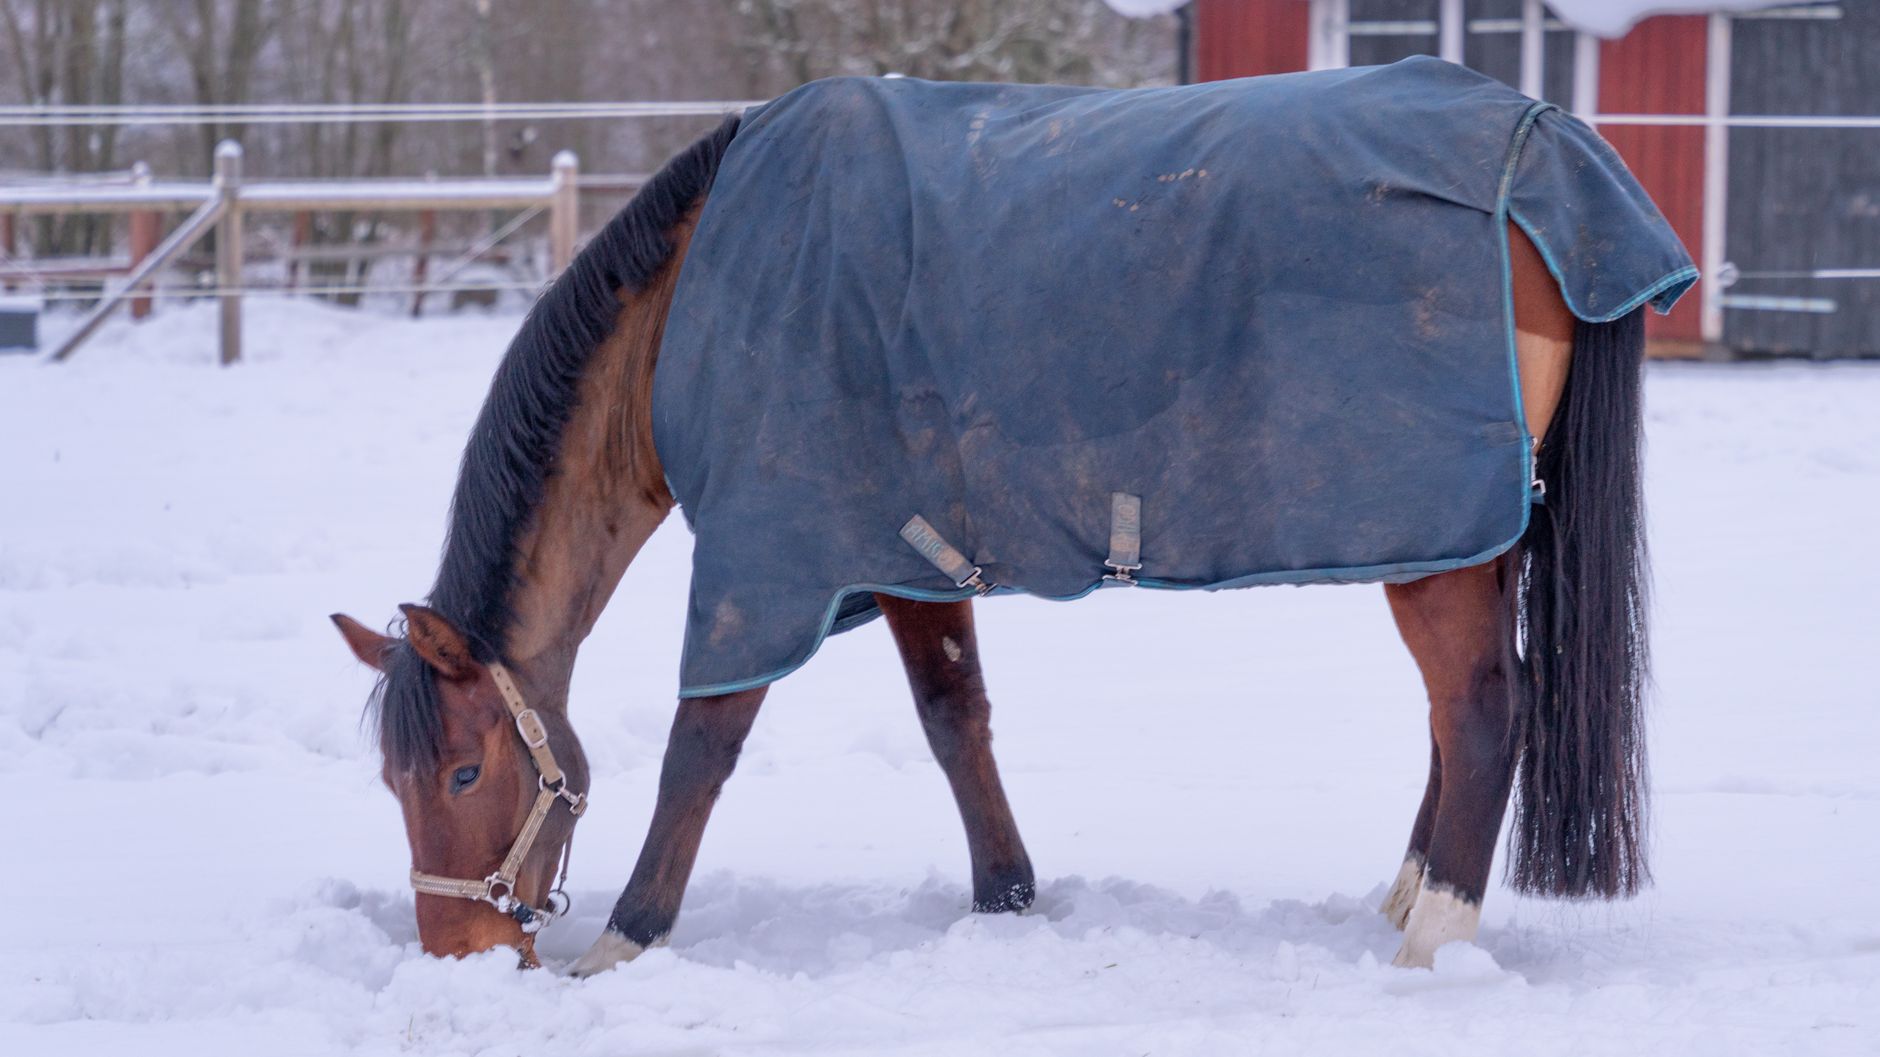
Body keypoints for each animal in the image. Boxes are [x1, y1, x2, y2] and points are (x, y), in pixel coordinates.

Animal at [333, 68, 1663, 974]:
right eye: (392, 778)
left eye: (463, 768)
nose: (456, 950)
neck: (693, 302)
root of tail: (1544, 149)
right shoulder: (904, 548)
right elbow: (952, 719)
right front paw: (1007, 897)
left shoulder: (765, 561)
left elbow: (700, 747)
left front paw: (627, 940)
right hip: (1463, 537)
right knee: (1460, 711)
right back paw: (1403, 897)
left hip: (1435, 542)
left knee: (1480, 711)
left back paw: (1430, 939)